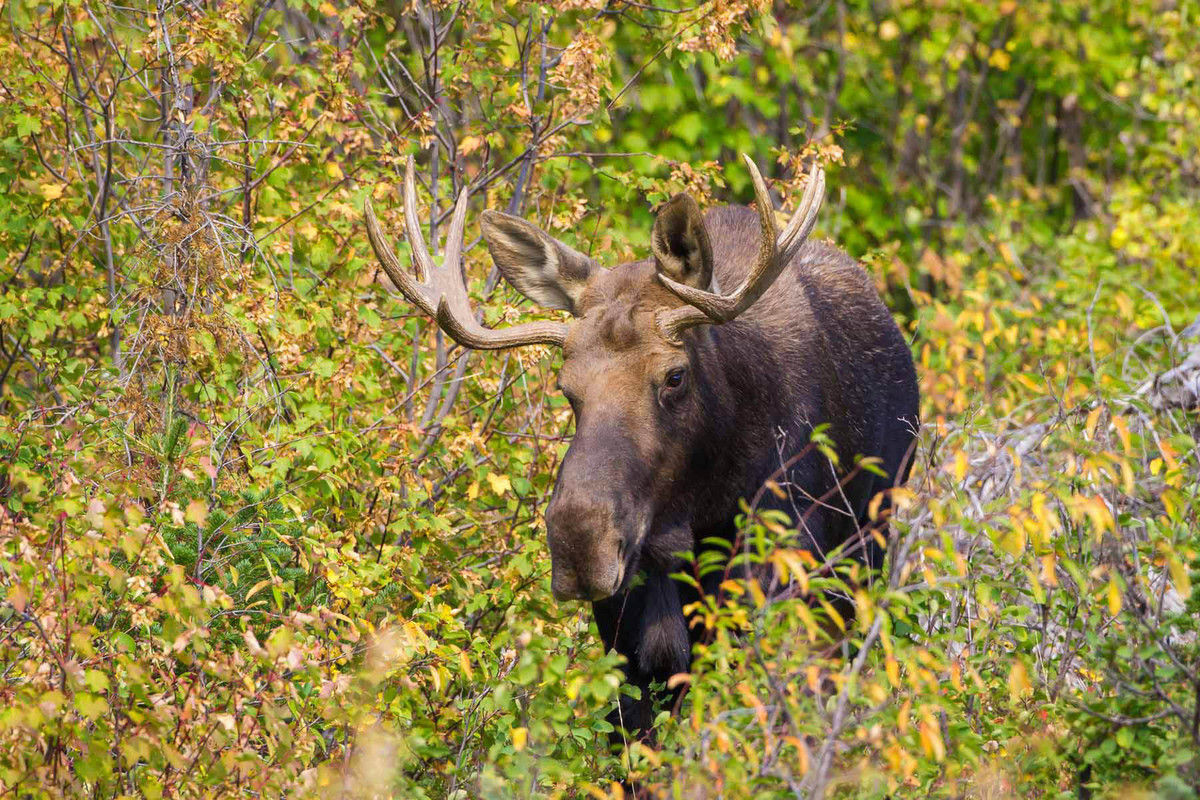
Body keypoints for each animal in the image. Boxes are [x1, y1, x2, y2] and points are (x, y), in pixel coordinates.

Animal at [365, 154, 920, 737]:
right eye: (567, 388)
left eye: (674, 376)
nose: (580, 542)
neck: (694, 516)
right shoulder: (626, 637)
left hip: (864, 550)